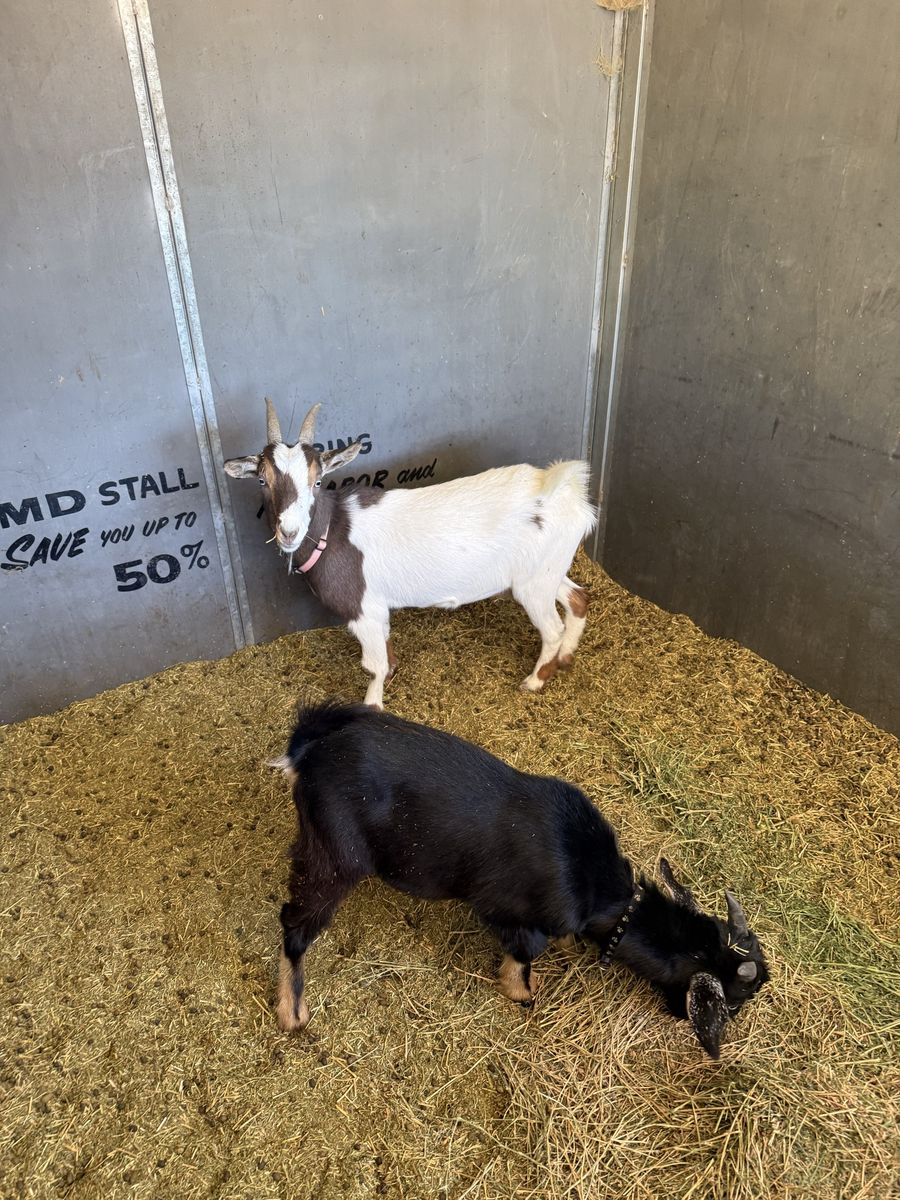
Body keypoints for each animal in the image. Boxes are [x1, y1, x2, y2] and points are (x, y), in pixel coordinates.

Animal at [224, 400, 596, 707]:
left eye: (318, 481)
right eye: (262, 480)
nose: (288, 532)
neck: (333, 531)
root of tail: (568, 492)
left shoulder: (363, 609)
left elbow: (374, 666)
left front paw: (373, 705)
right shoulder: (378, 609)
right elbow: (386, 655)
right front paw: (391, 673)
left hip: (533, 586)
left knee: (553, 628)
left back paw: (535, 680)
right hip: (546, 571)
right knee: (579, 598)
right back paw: (565, 657)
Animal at [271, 703, 769, 1059]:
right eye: (734, 1003)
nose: (679, 1018)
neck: (597, 889)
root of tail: (308, 753)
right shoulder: (503, 911)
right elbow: (526, 954)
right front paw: (523, 993)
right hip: (333, 858)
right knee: (293, 923)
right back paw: (291, 1012)